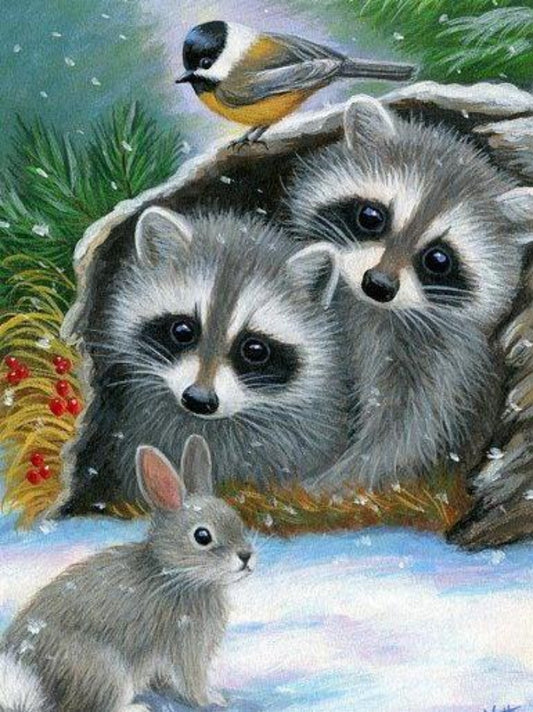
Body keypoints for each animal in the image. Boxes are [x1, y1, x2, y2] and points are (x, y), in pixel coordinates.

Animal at [288, 95, 533, 493]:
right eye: (371, 216)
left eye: (438, 259)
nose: (378, 284)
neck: (374, 310)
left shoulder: (448, 359)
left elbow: (409, 428)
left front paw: (335, 482)